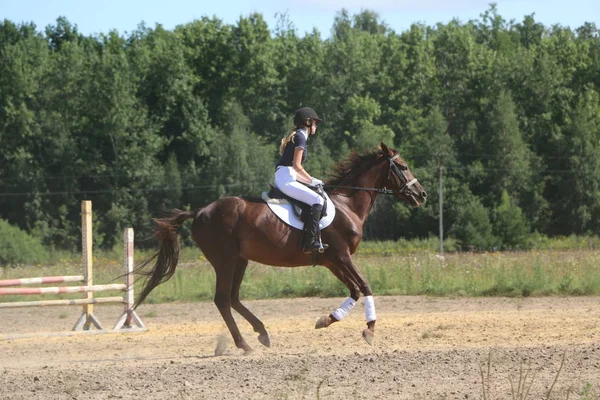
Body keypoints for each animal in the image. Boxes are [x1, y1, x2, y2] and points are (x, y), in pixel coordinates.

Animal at [136, 142, 426, 354]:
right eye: (403, 166)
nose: (422, 195)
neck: (347, 204)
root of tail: (200, 211)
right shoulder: (342, 256)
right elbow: (365, 286)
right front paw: (369, 330)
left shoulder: (332, 261)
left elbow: (354, 290)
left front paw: (327, 319)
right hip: (225, 260)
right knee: (222, 299)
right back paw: (245, 344)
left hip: (240, 260)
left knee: (233, 298)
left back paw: (262, 333)